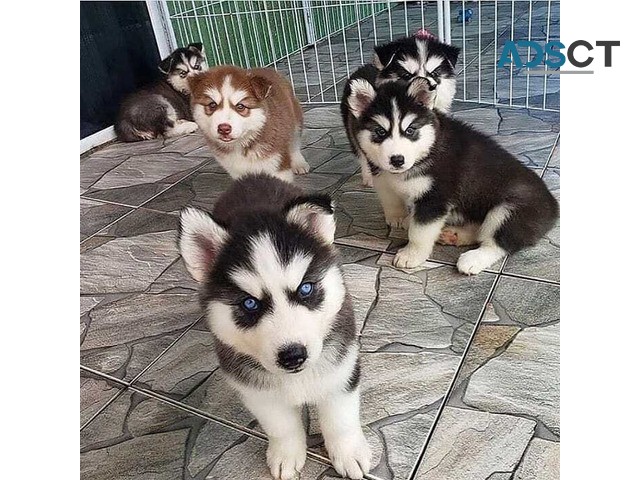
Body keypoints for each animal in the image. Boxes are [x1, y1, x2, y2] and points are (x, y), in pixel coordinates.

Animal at [178, 173, 372, 480]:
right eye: (249, 304)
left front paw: (348, 453)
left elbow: (340, 419)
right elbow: (282, 427)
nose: (293, 356)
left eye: (305, 288)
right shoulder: (257, 391)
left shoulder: (340, 370)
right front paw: (286, 455)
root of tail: (253, 176)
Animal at [342, 77, 556, 276]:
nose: (397, 160)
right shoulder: (382, 177)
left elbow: (419, 232)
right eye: (380, 131)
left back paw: (473, 259)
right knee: (479, 229)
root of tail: (554, 206)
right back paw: (453, 234)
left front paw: (412, 255)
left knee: (497, 241)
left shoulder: (435, 198)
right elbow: (391, 200)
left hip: (509, 209)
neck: (427, 151)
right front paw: (399, 217)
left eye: (410, 130)